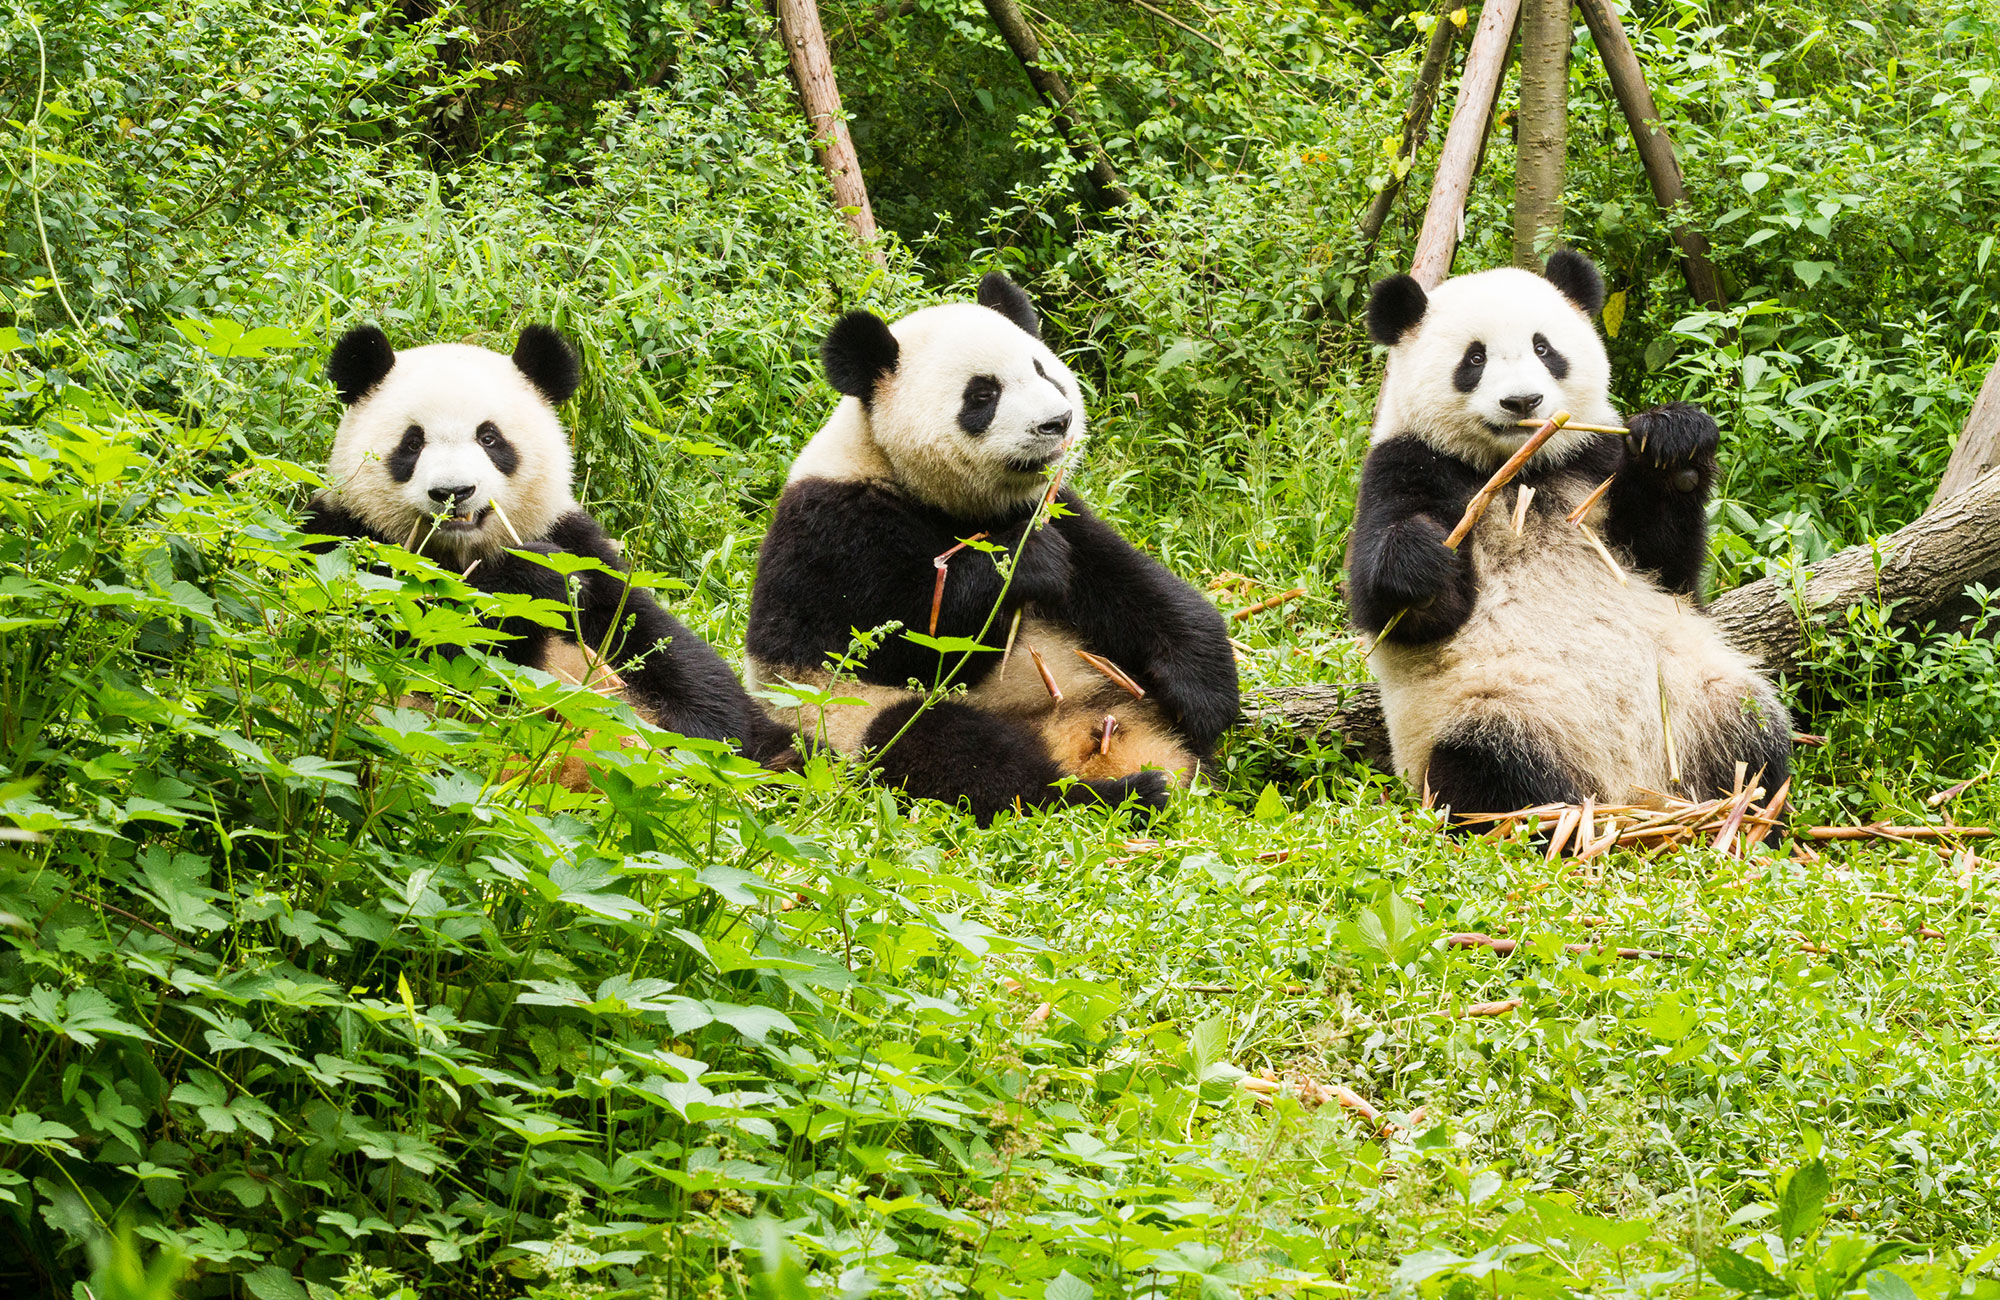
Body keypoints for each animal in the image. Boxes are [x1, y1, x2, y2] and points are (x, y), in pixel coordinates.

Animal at [301, 324, 796, 770]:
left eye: (489, 438)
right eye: (412, 442)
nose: (453, 492)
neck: (462, 552)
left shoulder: (578, 542)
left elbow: (660, 645)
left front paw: (700, 743)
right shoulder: (344, 540)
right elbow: (427, 642)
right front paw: (533, 579)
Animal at [744, 273, 1240, 823]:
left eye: (1044, 371)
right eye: (982, 394)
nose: (1058, 422)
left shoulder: (1054, 507)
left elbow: (1130, 584)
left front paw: (1204, 696)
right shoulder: (830, 531)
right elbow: (888, 640)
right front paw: (1024, 563)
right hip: (846, 717)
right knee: (948, 751)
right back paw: (1114, 795)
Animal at [1347, 250, 1791, 820]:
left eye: (1544, 348)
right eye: (1474, 359)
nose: (1522, 402)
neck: (1522, 468)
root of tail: (1631, 791)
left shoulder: (1591, 462)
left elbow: (1669, 568)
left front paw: (1676, 445)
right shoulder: (1404, 464)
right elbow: (1400, 614)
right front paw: (1418, 561)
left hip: (1698, 700)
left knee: (1753, 739)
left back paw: (1745, 812)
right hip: (1492, 710)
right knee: (1491, 771)